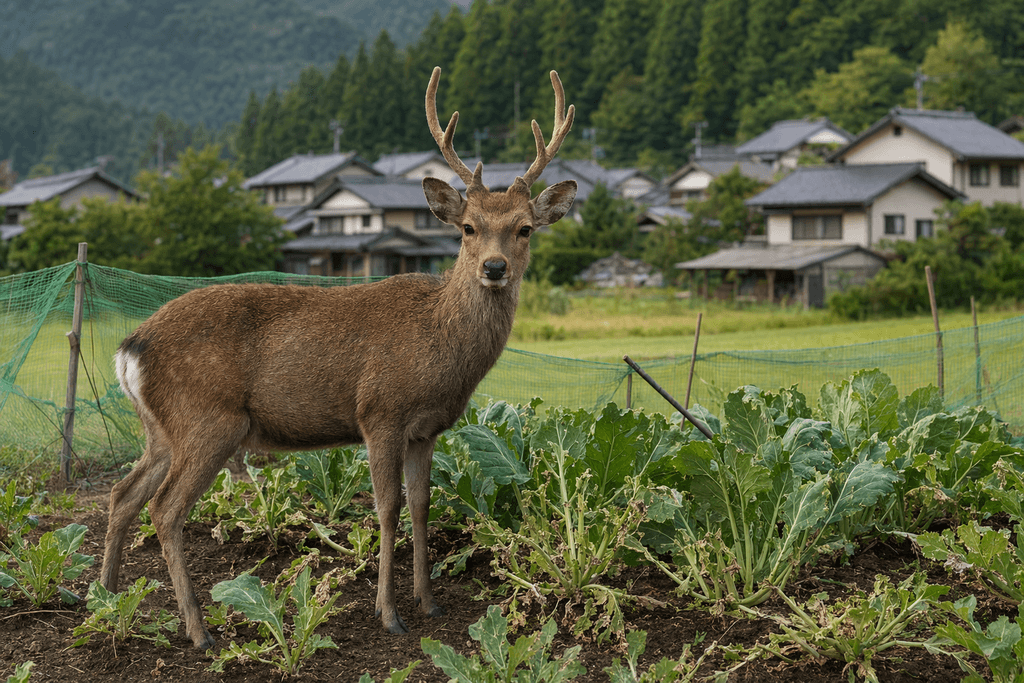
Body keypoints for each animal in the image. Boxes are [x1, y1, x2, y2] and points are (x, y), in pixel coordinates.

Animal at [100, 66, 577, 650]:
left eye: (524, 228)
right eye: (468, 228)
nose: (493, 267)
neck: (439, 346)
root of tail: (131, 346)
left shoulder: (427, 428)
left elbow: (422, 504)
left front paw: (429, 602)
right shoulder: (380, 411)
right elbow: (387, 508)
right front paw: (388, 613)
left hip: (161, 429)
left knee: (122, 494)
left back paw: (107, 600)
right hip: (208, 419)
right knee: (165, 509)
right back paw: (198, 631)